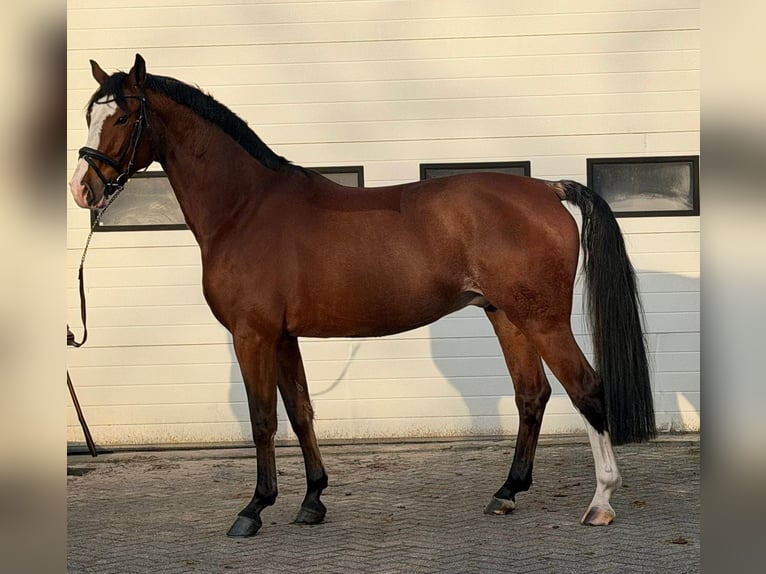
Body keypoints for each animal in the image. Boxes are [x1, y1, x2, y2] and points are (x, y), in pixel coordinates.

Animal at [70, 54, 655, 537]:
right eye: (89, 114)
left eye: (122, 118)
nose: (83, 189)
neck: (245, 208)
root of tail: (547, 189)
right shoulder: (283, 337)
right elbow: (300, 411)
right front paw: (312, 502)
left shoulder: (252, 335)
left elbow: (263, 419)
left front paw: (254, 509)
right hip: (506, 315)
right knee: (531, 395)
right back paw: (506, 492)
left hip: (543, 320)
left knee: (587, 388)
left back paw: (601, 502)